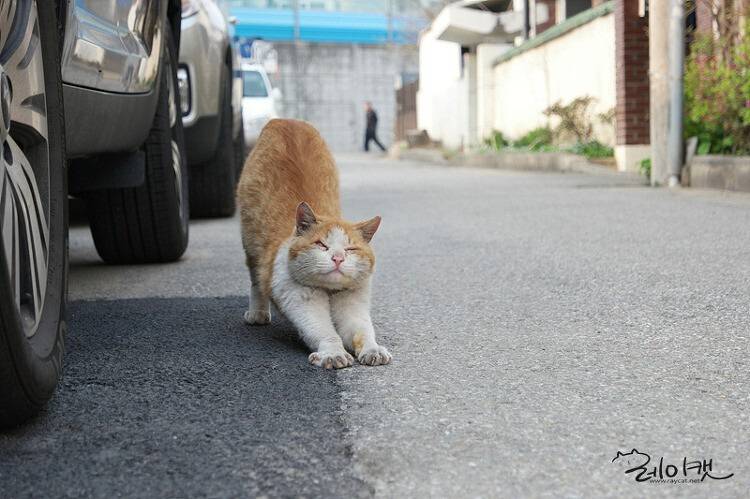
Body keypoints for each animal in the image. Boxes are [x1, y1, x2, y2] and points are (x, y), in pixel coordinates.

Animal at [238, 116, 394, 368]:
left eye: (350, 248)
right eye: (321, 245)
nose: (338, 258)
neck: (329, 291)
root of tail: (283, 120)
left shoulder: (353, 303)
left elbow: (362, 331)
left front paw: (372, 349)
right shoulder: (302, 301)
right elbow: (324, 332)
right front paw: (333, 354)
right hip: (250, 243)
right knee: (256, 281)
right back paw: (258, 313)